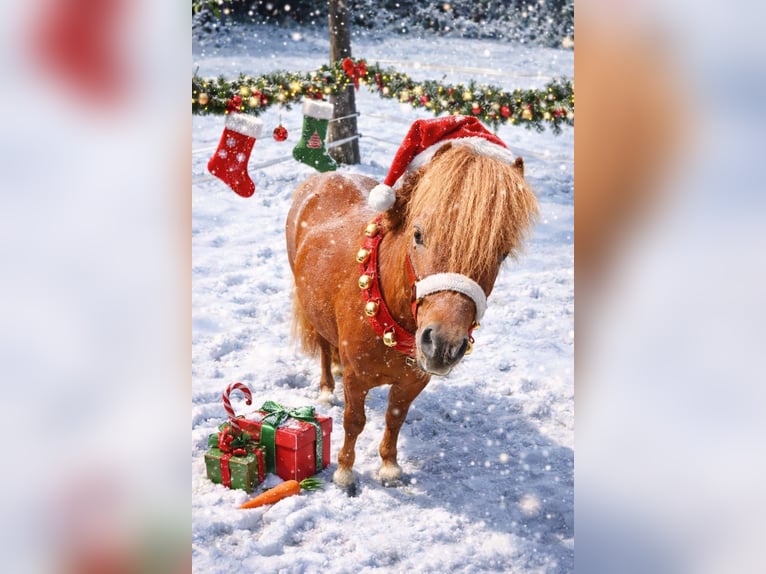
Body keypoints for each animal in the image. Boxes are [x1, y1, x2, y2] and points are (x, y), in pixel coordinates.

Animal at [285, 135, 538, 494]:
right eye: (418, 234)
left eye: (502, 253)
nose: (443, 344)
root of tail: (327, 176)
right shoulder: (357, 379)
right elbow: (354, 421)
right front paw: (345, 472)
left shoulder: (413, 380)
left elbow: (395, 418)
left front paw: (389, 467)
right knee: (322, 346)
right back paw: (326, 387)